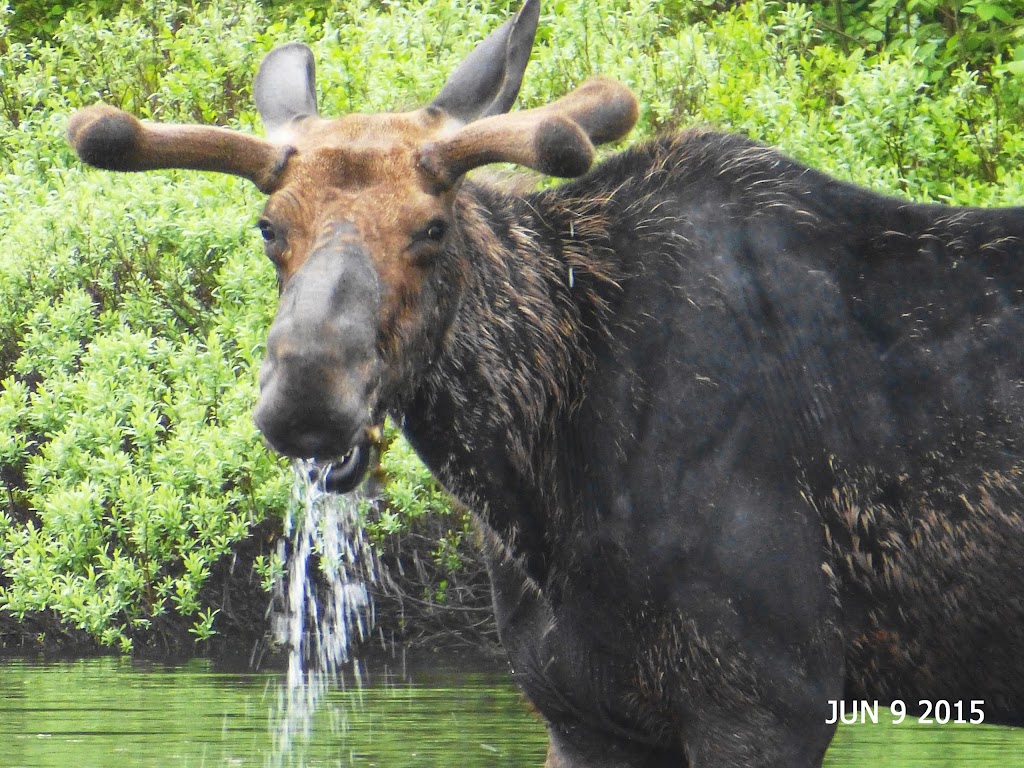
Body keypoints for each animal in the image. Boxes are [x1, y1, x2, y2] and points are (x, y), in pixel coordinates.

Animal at [66, 0, 1024, 765]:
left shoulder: (771, 695)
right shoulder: (582, 710)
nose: (306, 394)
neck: (540, 483)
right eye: (269, 227)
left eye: (433, 227)